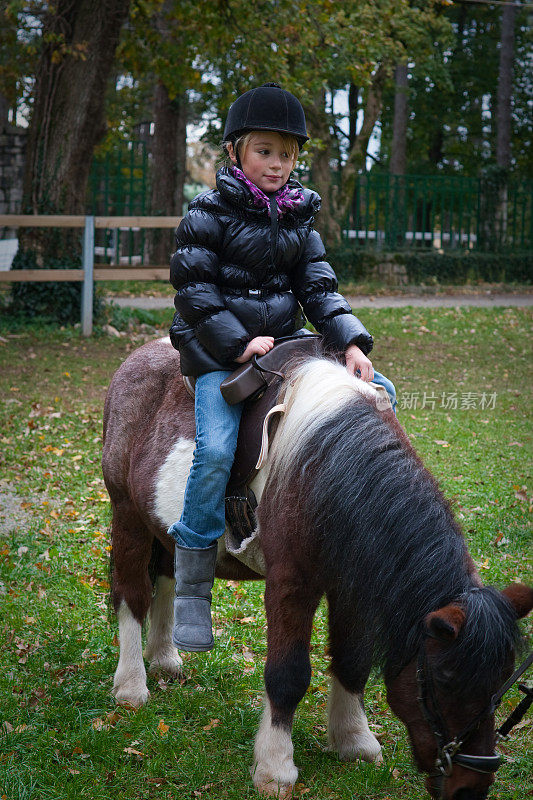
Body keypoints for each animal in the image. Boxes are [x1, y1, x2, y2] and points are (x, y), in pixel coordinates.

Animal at [102, 338, 528, 800]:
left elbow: (353, 660)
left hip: (160, 525)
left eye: (502, 678)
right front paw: (275, 768)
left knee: (167, 574)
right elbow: (288, 673)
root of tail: (137, 357)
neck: (327, 470)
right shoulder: (291, 585)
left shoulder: (353, 585)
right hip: (126, 512)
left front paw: (354, 740)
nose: (471, 787)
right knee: (132, 593)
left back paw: (164, 658)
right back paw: (131, 685)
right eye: (446, 678)